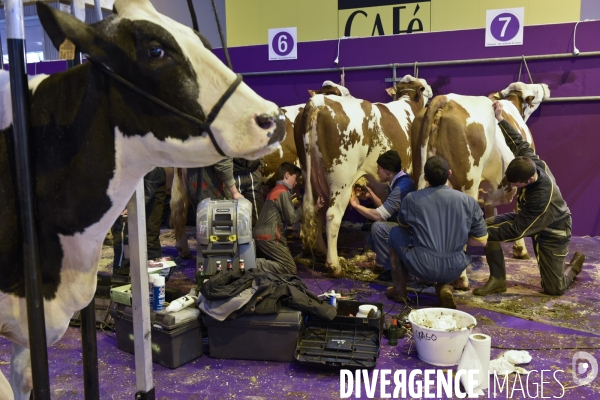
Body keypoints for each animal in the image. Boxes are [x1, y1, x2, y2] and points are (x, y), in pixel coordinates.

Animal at [300, 75, 432, 276]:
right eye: (425, 88)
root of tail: (320, 101)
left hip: (313, 176)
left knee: (318, 210)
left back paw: (321, 251)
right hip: (341, 180)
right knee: (332, 215)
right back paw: (334, 265)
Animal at [412, 83, 548, 266]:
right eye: (535, 91)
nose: (545, 86)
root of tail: (446, 99)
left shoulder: (490, 191)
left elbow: (492, 213)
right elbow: (518, 210)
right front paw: (520, 250)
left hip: (420, 171)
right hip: (467, 184)